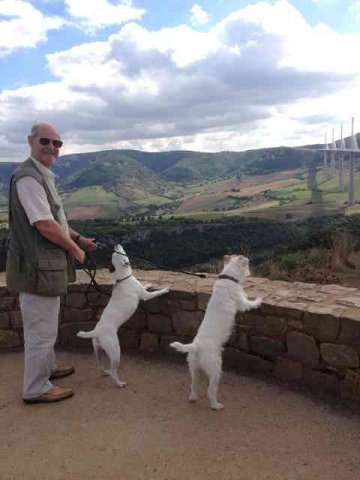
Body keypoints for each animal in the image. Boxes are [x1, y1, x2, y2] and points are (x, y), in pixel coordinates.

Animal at [76, 246, 169, 388]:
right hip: (115, 351)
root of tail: (96, 332)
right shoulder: (146, 296)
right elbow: (156, 293)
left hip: (98, 351)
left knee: (99, 366)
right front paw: (165, 289)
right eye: (119, 253)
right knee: (113, 371)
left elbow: (145, 286)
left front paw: (148, 283)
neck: (123, 277)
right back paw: (119, 383)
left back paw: (104, 372)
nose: (115, 245)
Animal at [172, 255, 262, 408]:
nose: (250, 274)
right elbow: (250, 303)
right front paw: (259, 300)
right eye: (248, 265)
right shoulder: (242, 302)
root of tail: (196, 346)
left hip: (194, 368)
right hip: (215, 368)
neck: (227, 278)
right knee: (211, 390)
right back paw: (215, 405)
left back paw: (193, 397)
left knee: (193, 385)